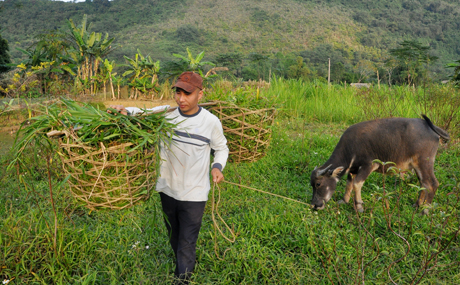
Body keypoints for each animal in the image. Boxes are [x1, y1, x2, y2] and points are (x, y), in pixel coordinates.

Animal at [310, 114, 450, 212]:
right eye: (312, 184)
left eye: (318, 184)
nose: (315, 205)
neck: (351, 148)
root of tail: (431, 128)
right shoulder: (353, 169)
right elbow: (349, 184)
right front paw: (344, 201)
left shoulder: (369, 165)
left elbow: (356, 184)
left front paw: (359, 206)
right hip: (417, 166)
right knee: (423, 183)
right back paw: (417, 205)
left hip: (425, 162)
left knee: (432, 184)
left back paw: (425, 210)